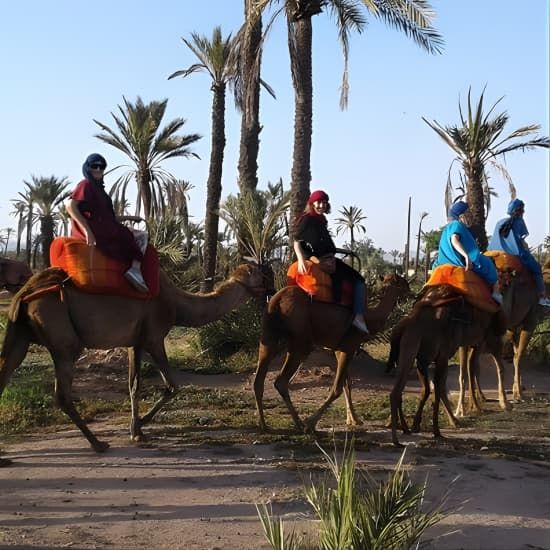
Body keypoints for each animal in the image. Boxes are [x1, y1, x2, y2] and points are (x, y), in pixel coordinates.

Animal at [0, 266, 270, 454]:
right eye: (260, 273)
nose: (271, 285)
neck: (177, 304)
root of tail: (24, 294)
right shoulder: (153, 337)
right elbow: (172, 386)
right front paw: (139, 426)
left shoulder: (134, 342)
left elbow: (134, 385)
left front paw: (136, 429)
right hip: (62, 337)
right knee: (62, 392)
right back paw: (98, 444)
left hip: (19, 333)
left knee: (7, 368)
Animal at [253, 274, 410, 434]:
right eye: (405, 283)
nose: (411, 292)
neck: (370, 318)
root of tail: (276, 301)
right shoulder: (349, 346)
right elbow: (337, 388)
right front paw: (311, 423)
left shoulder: (339, 349)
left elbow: (347, 383)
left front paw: (354, 420)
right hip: (300, 342)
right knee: (281, 381)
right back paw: (300, 424)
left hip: (268, 336)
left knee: (259, 379)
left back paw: (264, 425)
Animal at [388, 284, 508, 448]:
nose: (500, 339)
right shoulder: (442, 356)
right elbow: (438, 389)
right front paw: (437, 431)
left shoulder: (423, 360)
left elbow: (427, 390)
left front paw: (416, 425)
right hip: (409, 350)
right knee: (396, 392)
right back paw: (396, 439)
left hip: (406, 354)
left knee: (398, 391)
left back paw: (404, 430)